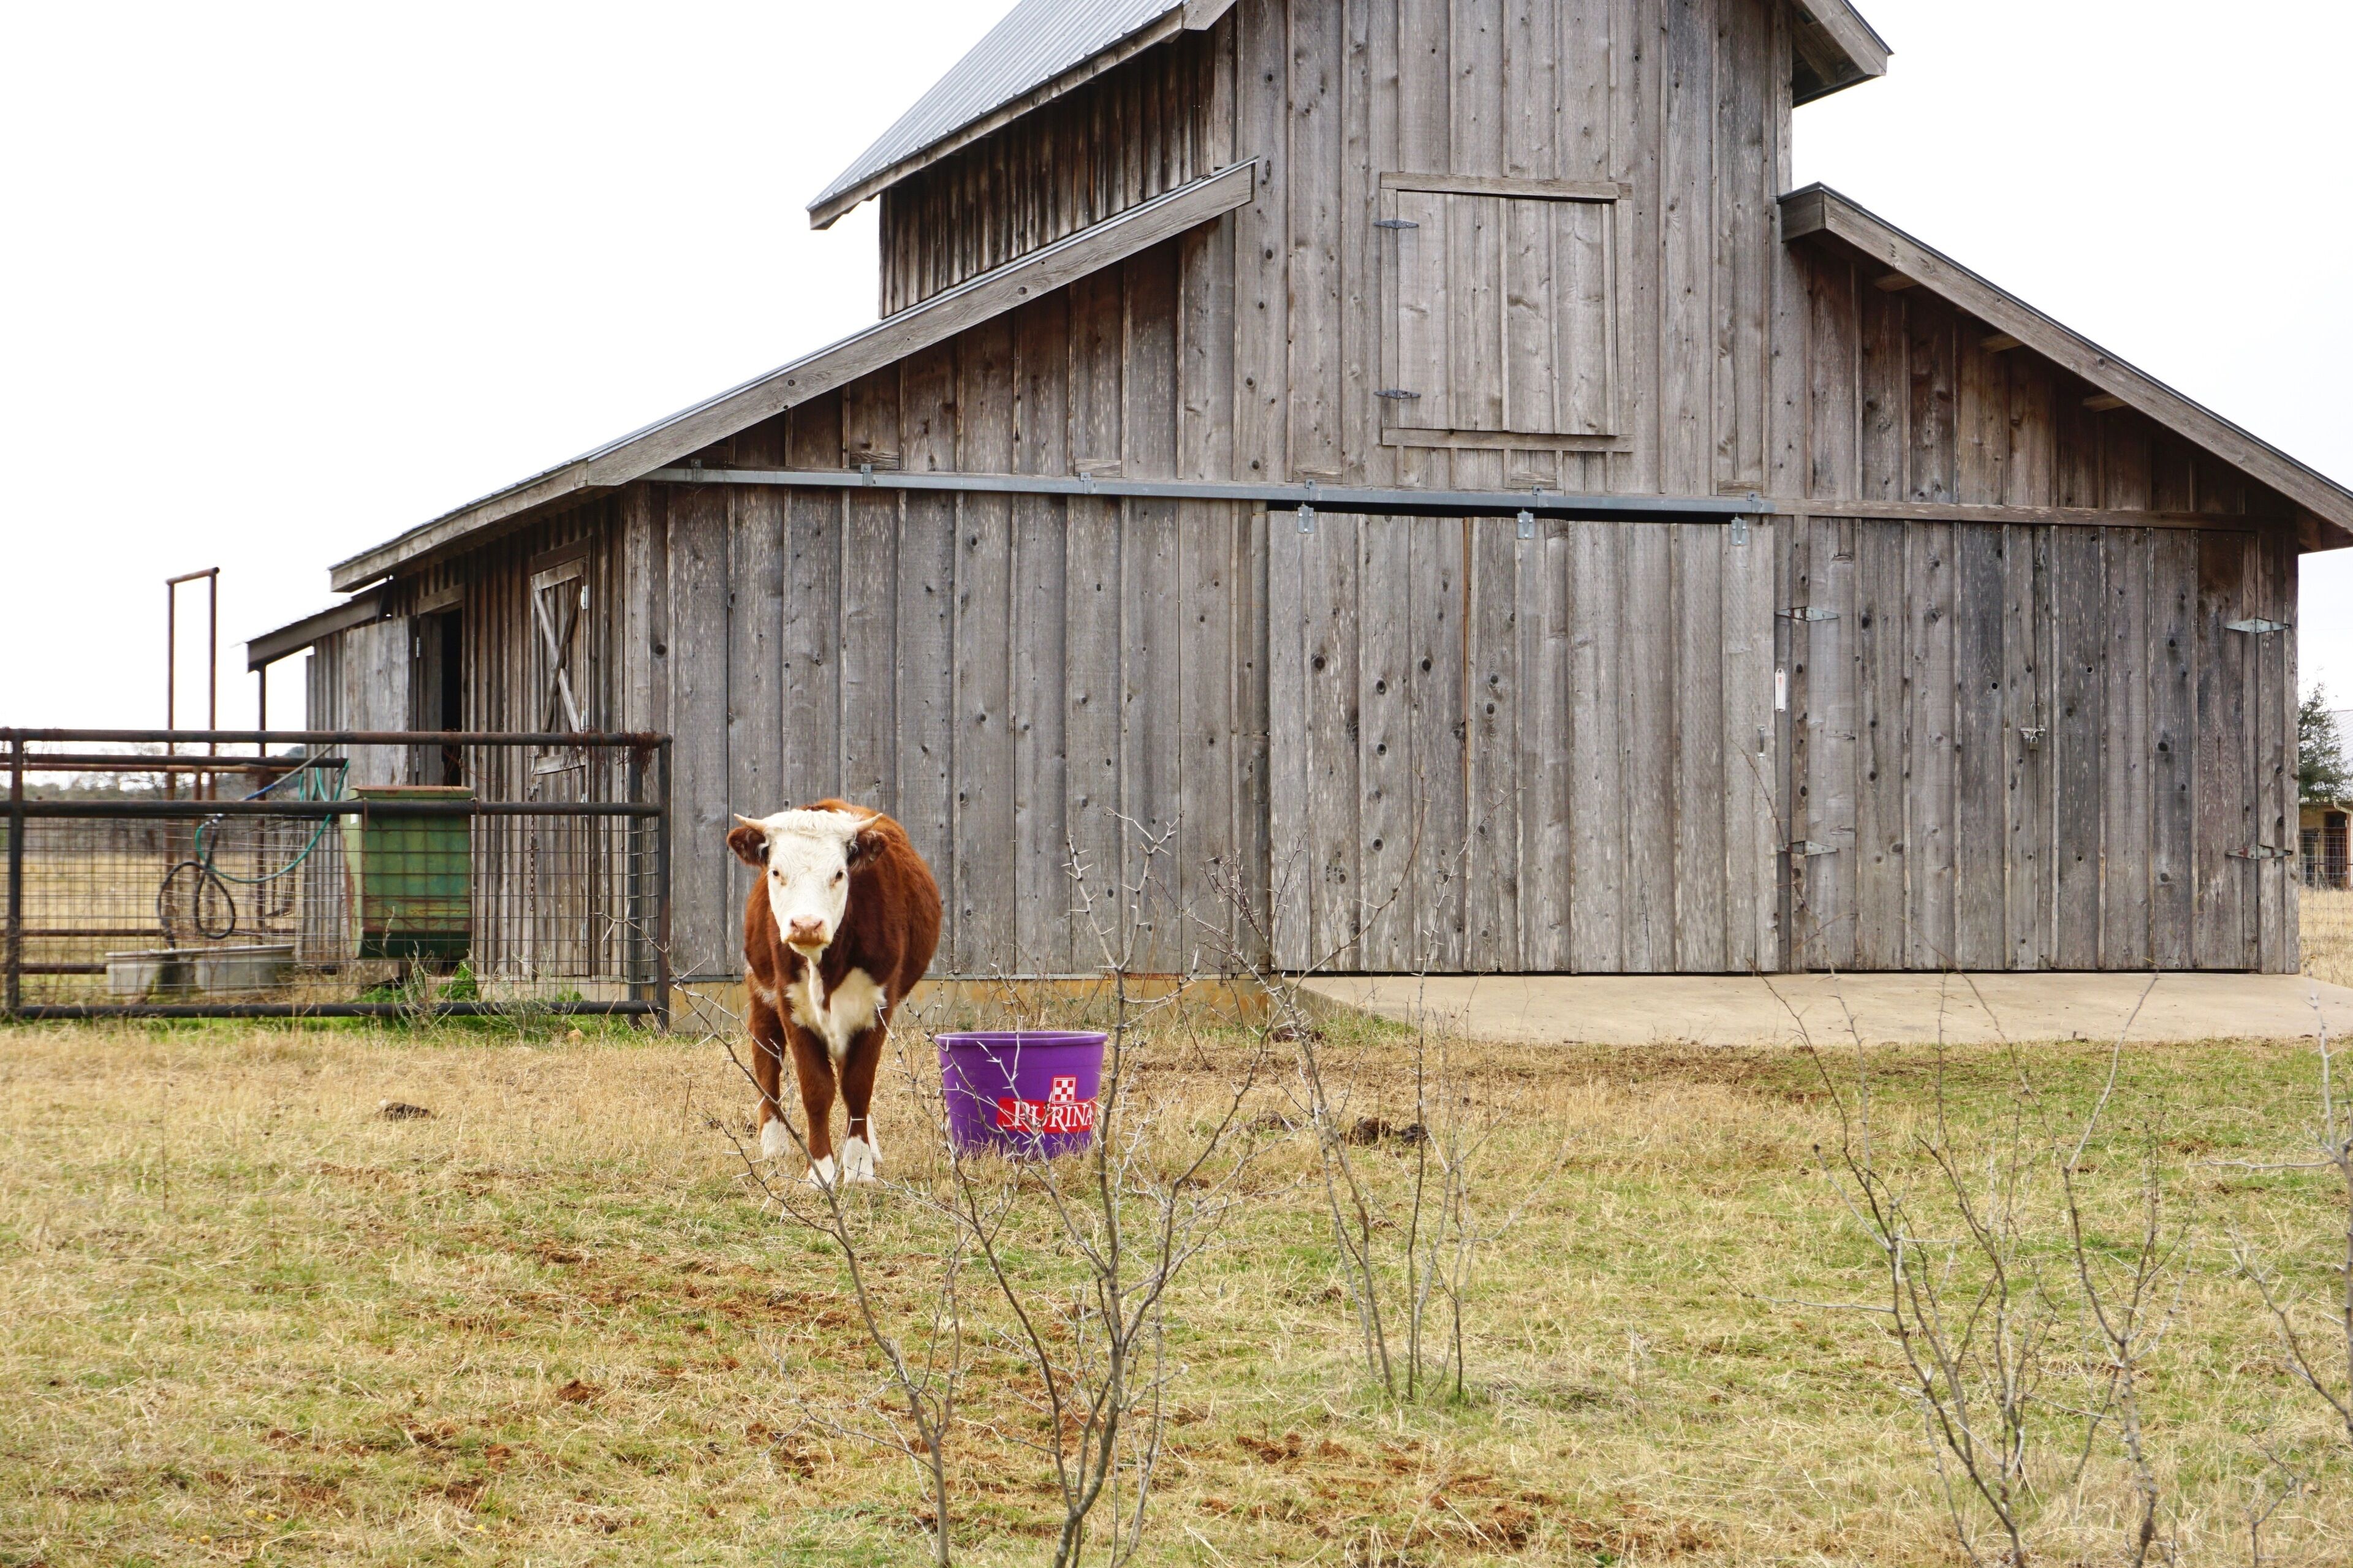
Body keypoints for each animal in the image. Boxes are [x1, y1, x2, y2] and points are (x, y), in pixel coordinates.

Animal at [726, 801, 942, 1186]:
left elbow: (857, 1085)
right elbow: (817, 1088)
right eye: (776, 872)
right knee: (766, 1055)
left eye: (840, 874)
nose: (807, 925)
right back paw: (774, 1143)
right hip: (760, 989)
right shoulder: (791, 1005)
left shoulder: (877, 1007)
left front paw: (858, 1166)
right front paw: (821, 1171)